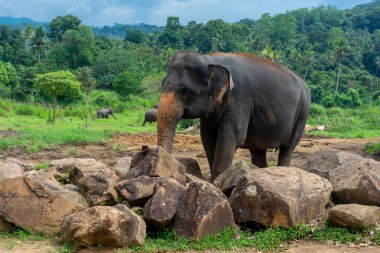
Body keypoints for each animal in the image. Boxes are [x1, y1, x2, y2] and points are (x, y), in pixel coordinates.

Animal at [156, 52, 310, 182]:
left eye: (187, 91)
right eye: (162, 85)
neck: (210, 58)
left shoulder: (239, 98)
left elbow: (232, 137)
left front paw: (217, 183)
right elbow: (207, 138)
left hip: (302, 111)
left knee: (287, 148)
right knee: (258, 151)